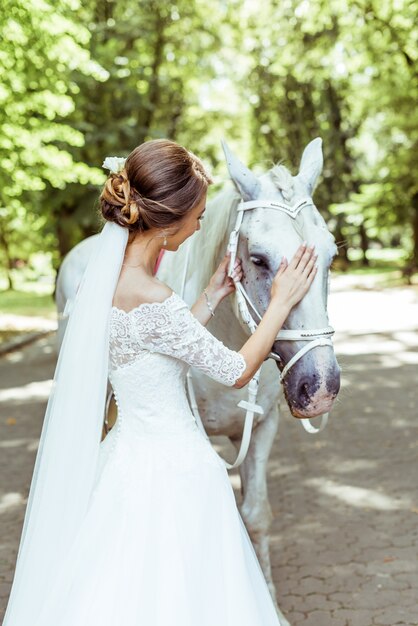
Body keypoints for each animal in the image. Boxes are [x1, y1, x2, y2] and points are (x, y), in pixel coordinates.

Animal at [54, 136, 340, 620]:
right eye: (259, 259)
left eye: (331, 255)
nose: (319, 386)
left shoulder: (262, 427)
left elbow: (256, 514)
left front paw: (270, 605)